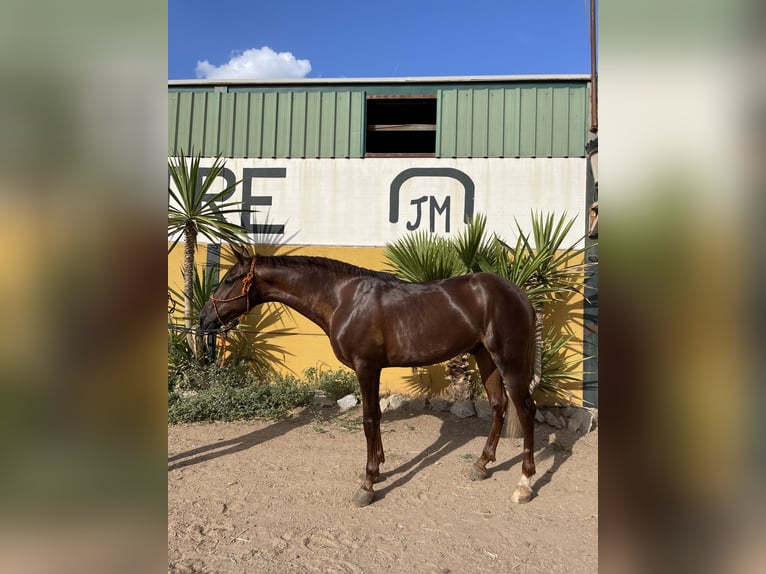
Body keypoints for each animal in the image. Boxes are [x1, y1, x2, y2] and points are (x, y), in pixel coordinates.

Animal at [196, 253, 540, 508]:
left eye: (229, 280)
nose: (204, 319)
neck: (342, 299)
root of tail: (519, 294)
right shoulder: (372, 369)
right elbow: (375, 417)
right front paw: (380, 467)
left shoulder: (366, 367)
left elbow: (369, 419)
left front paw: (368, 483)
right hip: (485, 356)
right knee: (498, 405)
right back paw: (481, 465)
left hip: (507, 360)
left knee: (525, 410)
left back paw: (524, 483)